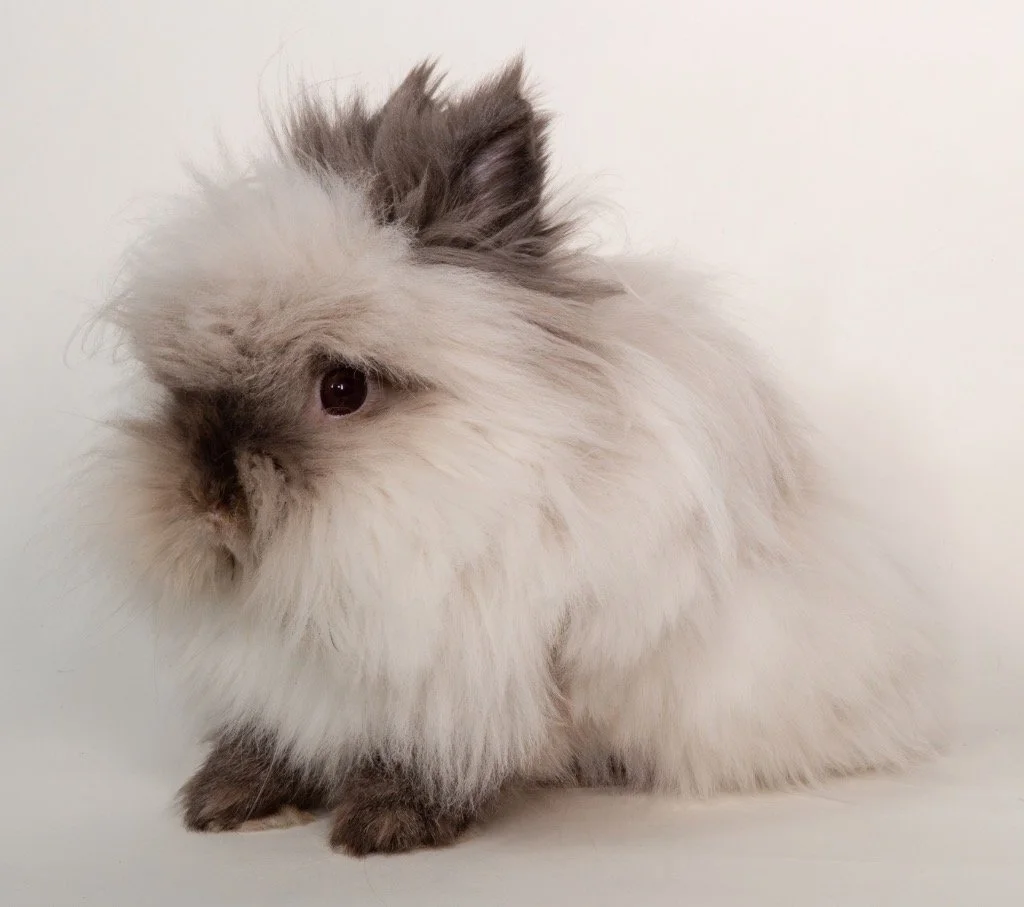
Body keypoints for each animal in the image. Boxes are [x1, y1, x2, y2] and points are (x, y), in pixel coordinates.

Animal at [93, 57, 946, 856]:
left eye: (342, 388)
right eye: (178, 389)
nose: (209, 502)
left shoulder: (471, 665)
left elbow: (435, 748)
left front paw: (384, 820)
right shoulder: (295, 669)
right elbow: (272, 729)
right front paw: (228, 799)